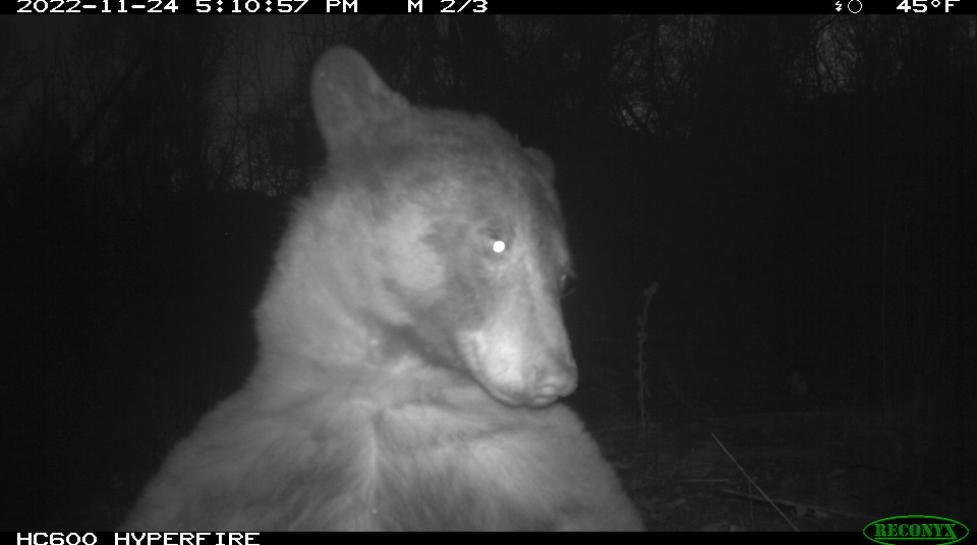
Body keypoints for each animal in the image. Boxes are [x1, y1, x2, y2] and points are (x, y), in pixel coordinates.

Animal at [120, 46, 640, 532]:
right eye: (497, 241)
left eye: (565, 279)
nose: (557, 376)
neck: (388, 377)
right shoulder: (239, 460)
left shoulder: (534, 462)